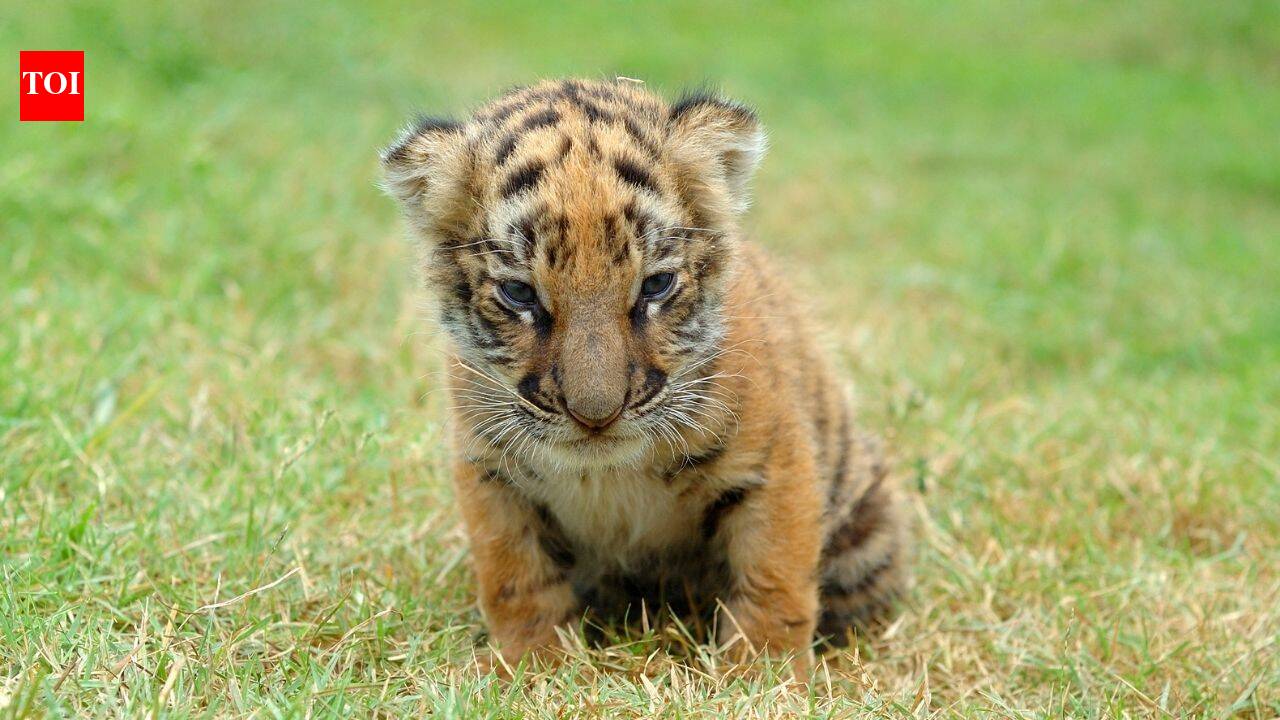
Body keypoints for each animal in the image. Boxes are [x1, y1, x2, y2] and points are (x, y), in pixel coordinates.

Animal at [380, 78, 910, 674]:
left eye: (655, 285)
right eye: (519, 294)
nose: (596, 416)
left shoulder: (775, 463)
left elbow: (773, 580)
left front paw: (763, 675)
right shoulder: (491, 471)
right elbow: (516, 580)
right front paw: (533, 668)